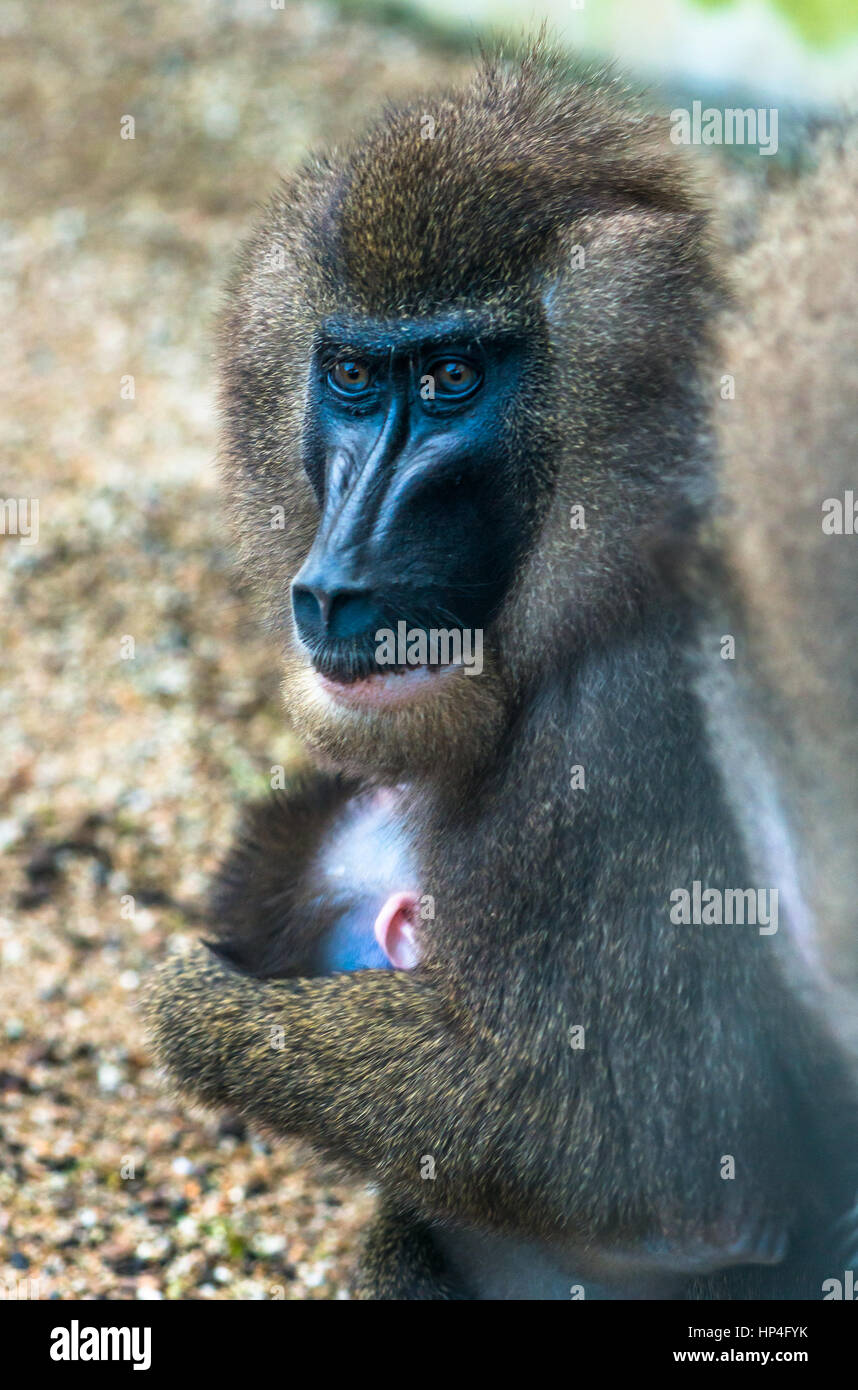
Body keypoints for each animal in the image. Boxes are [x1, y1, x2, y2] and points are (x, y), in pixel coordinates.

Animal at [147, 46, 856, 1301]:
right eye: (351, 372)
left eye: (452, 377)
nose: (334, 582)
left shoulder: (628, 728)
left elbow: (647, 1162)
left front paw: (203, 1004)